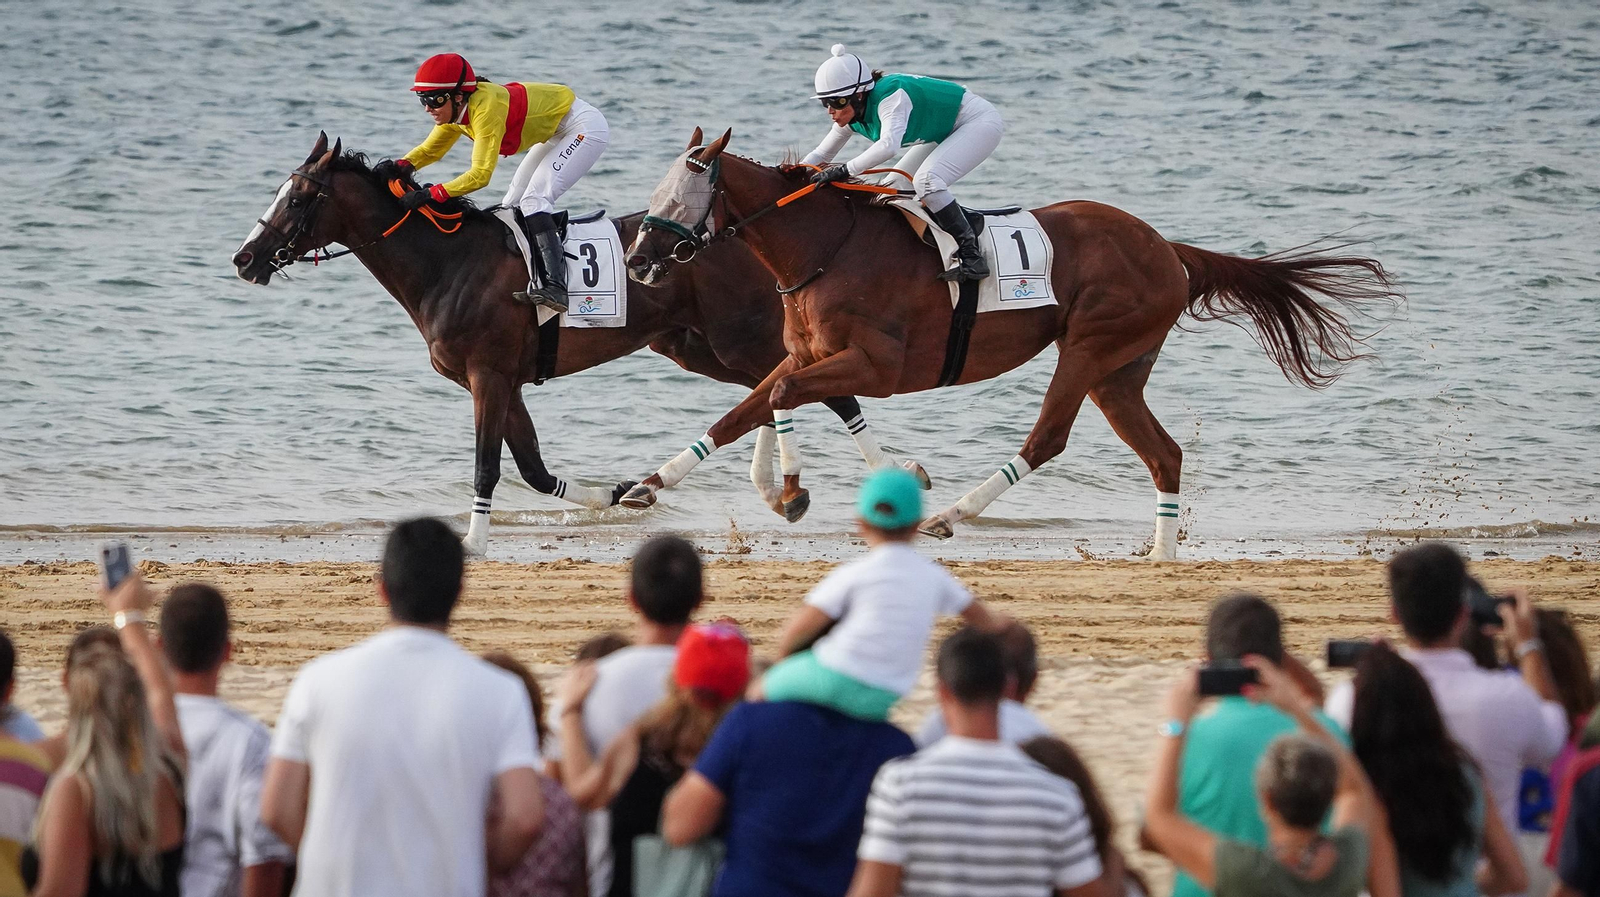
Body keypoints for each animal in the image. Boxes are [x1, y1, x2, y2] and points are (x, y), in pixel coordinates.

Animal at [231, 132, 926, 555]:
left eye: (300, 195)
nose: (245, 258)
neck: (447, 263)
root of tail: (725, 234)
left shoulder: (487, 376)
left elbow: (489, 464)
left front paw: (474, 543)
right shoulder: (503, 381)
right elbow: (534, 471)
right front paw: (612, 495)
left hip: (734, 338)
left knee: (813, 388)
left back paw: (885, 476)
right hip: (693, 346)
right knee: (775, 386)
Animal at [619, 128, 1401, 559]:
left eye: (683, 196)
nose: (637, 260)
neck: (824, 247)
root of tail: (1168, 250)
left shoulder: (876, 364)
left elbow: (779, 395)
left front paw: (793, 492)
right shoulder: (810, 353)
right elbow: (744, 408)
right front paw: (646, 484)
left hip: (1089, 347)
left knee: (1048, 438)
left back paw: (949, 517)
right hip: (1120, 370)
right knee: (1164, 453)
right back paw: (1160, 555)